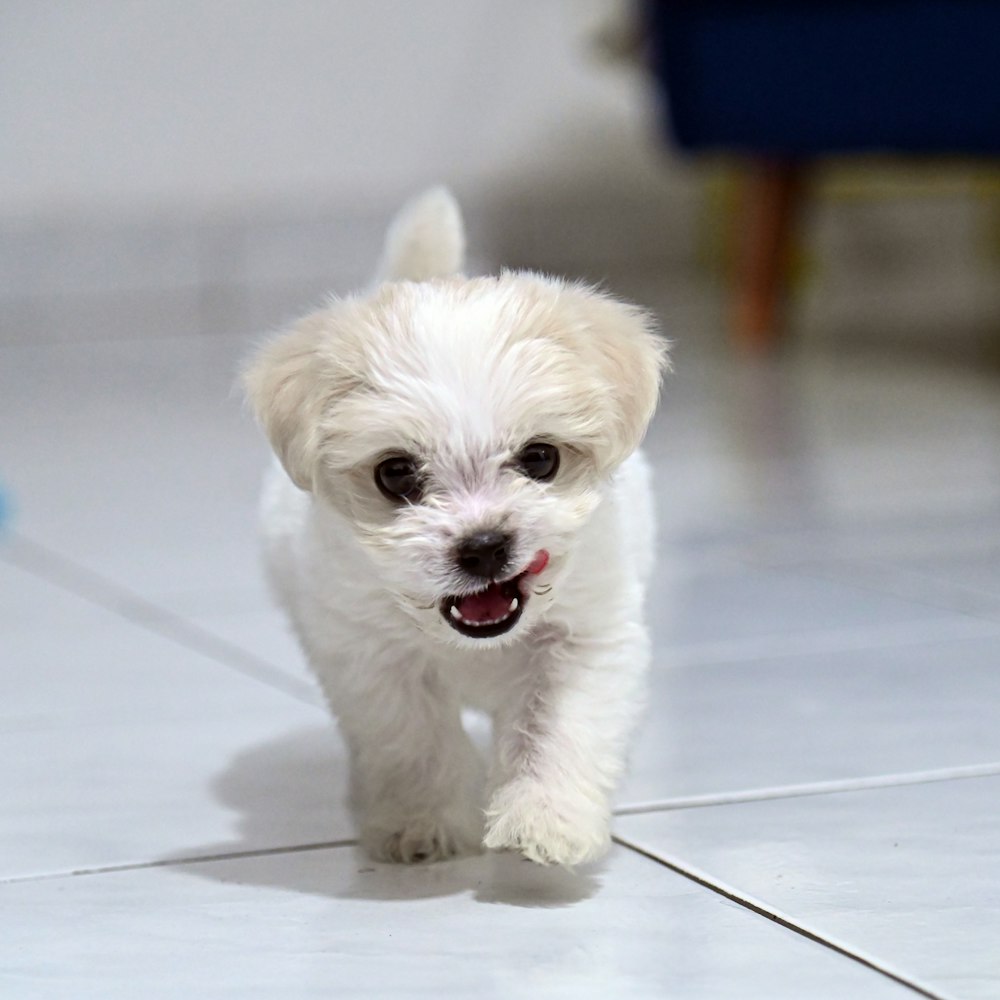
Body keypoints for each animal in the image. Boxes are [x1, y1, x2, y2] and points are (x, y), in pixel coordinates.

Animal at [243, 189, 668, 868]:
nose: (486, 545)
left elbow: (559, 725)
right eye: (395, 474)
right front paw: (422, 822)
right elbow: (411, 739)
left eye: (541, 458)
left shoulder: (586, 640)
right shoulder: (369, 655)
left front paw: (546, 818)